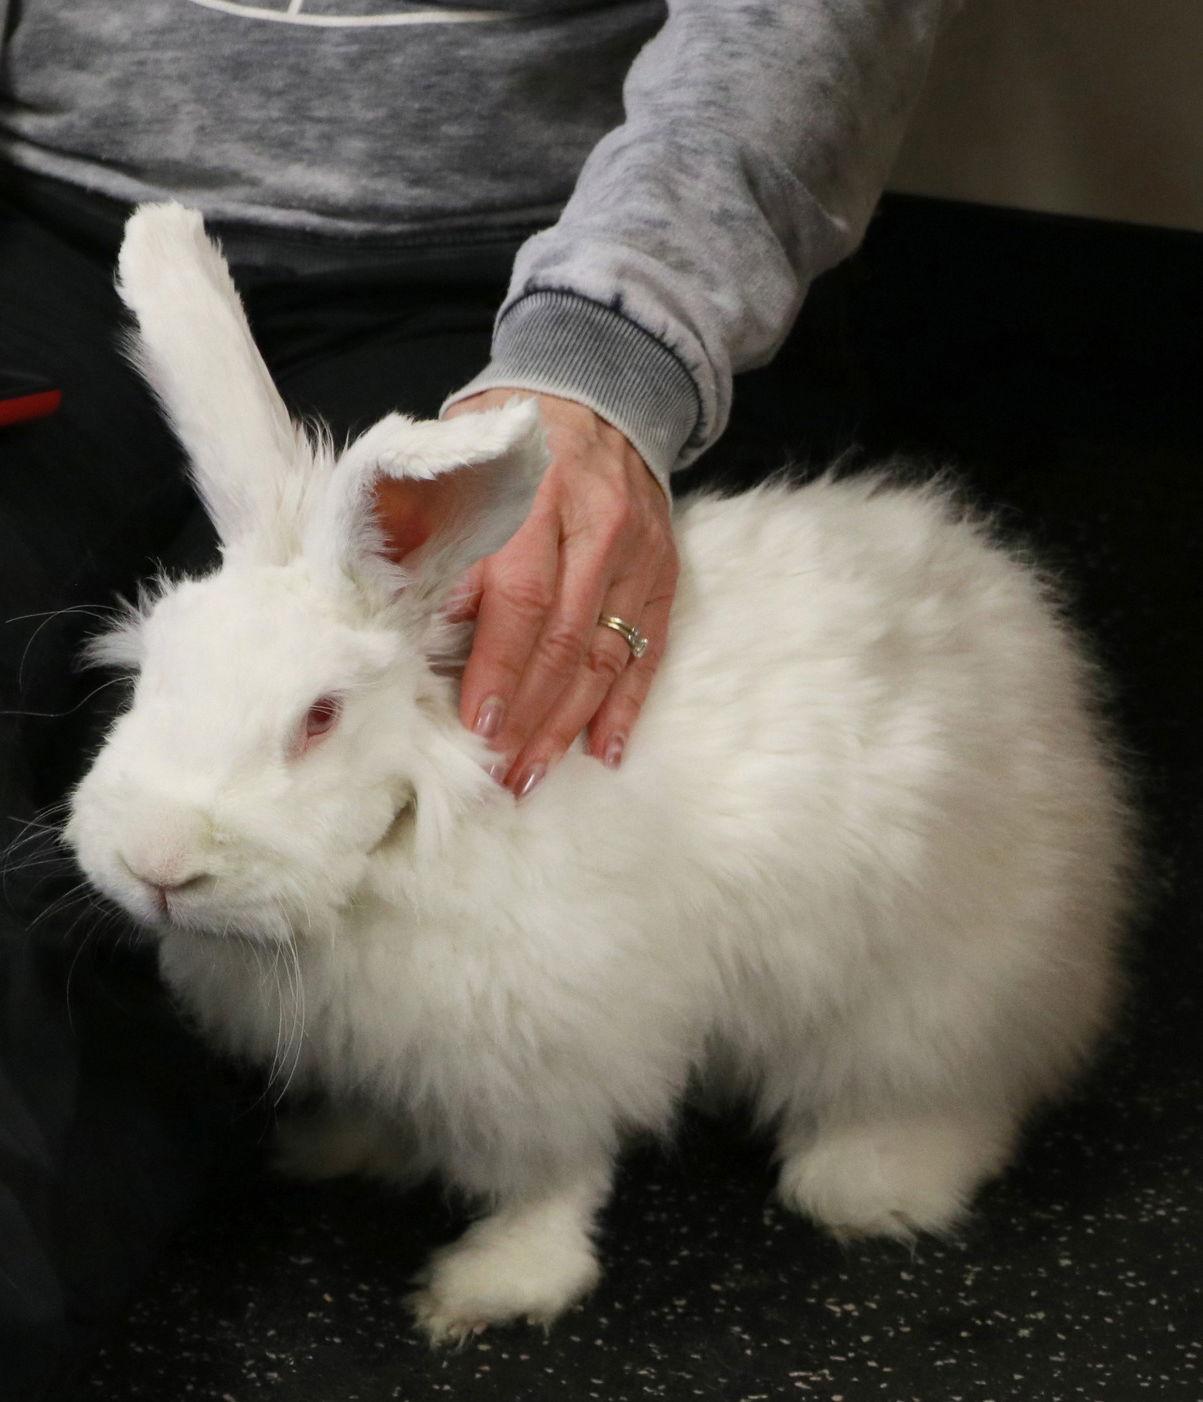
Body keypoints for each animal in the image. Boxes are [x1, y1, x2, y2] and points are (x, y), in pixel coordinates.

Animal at [66, 203, 1132, 1345]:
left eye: (318, 717)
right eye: (151, 673)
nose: (157, 864)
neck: (409, 834)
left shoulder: (554, 1047)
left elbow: (551, 1177)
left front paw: (485, 1288)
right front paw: (339, 1146)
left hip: (923, 979)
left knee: (952, 1083)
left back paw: (869, 1184)